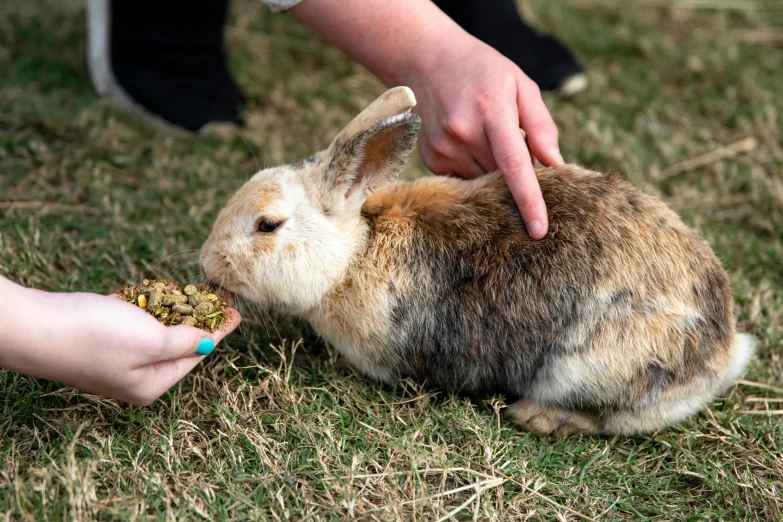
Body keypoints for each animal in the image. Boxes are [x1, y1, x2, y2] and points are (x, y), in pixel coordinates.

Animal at [201, 86, 752, 434]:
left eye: (268, 225)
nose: (208, 263)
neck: (354, 255)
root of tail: (725, 347)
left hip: (589, 366)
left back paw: (539, 417)